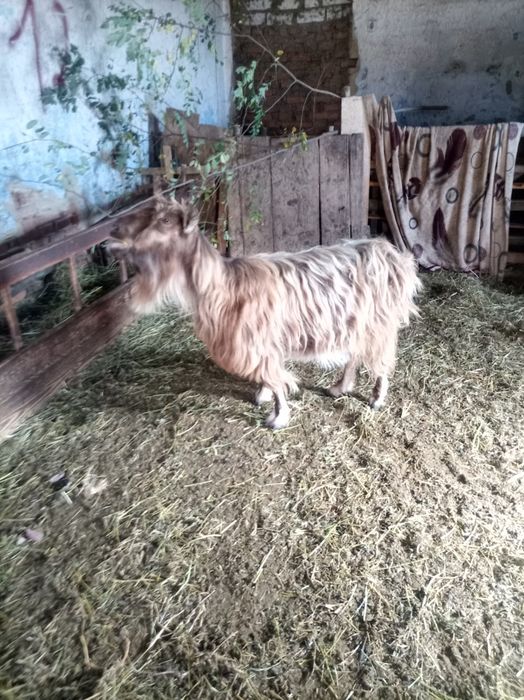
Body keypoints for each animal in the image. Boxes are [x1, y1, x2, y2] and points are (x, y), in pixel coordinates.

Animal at [109, 196, 421, 429]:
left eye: (164, 221)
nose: (114, 231)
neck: (224, 287)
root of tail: (393, 255)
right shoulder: (263, 344)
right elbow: (268, 375)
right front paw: (262, 395)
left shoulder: (260, 342)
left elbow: (275, 377)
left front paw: (277, 416)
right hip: (358, 322)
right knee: (356, 354)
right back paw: (338, 387)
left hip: (379, 323)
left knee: (381, 359)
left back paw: (376, 398)